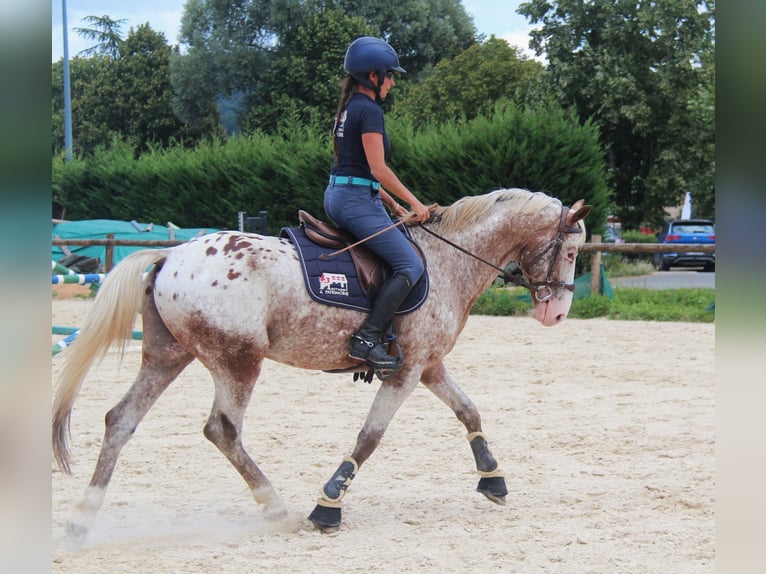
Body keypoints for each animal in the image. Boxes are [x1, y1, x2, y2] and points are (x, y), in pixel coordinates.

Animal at [52, 189, 592, 544]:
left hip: (168, 357)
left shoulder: (428, 364)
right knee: (222, 429)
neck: (445, 260)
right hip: (238, 360)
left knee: (120, 419)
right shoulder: (406, 370)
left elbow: (468, 411)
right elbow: (370, 437)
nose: (557, 313)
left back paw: (82, 518)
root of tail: (169, 258)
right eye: (569, 250)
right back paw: (275, 506)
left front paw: (492, 478)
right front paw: (328, 503)